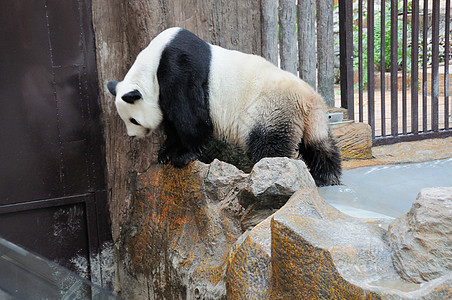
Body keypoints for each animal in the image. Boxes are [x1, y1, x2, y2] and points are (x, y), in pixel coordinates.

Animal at [107, 27, 340, 185]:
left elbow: (191, 117)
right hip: (311, 120)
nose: (132, 135)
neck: (151, 64)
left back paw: (269, 171)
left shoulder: (178, 70)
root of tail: (309, 100)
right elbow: (172, 121)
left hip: (271, 110)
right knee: (320, 146)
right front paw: (166, 152)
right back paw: (326, 178)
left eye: (133, 120)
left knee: (270, 147)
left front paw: (184, 155)